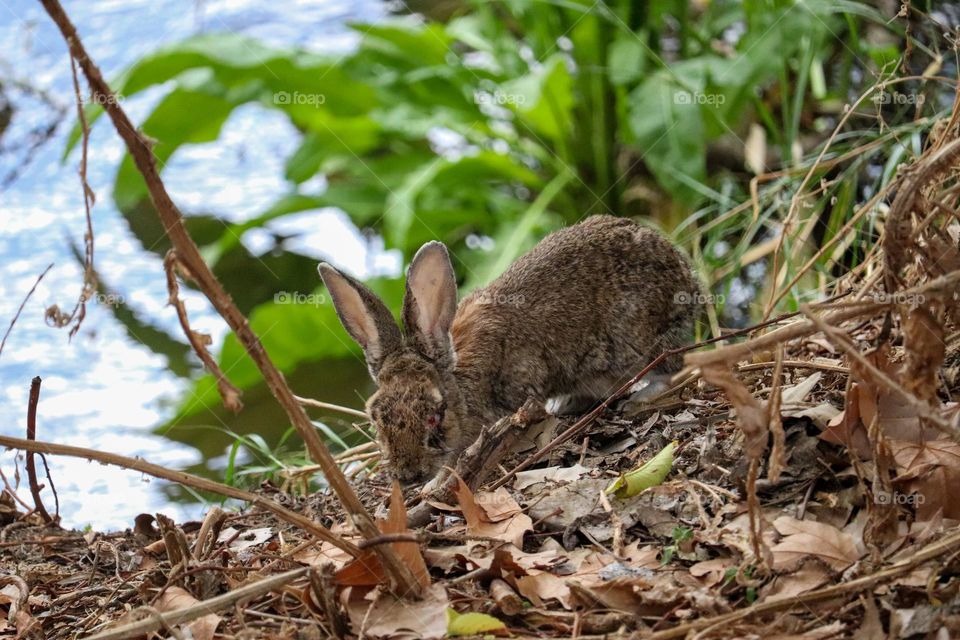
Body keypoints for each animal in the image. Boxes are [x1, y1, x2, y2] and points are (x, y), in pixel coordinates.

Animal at [318, 214, 701, 486]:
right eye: (375, 416)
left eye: (434, 415)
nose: (408, 475)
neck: (461, 384)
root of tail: (686, 277)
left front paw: (434, 485)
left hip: (637, 340)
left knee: (675, 367)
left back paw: (639, 397)